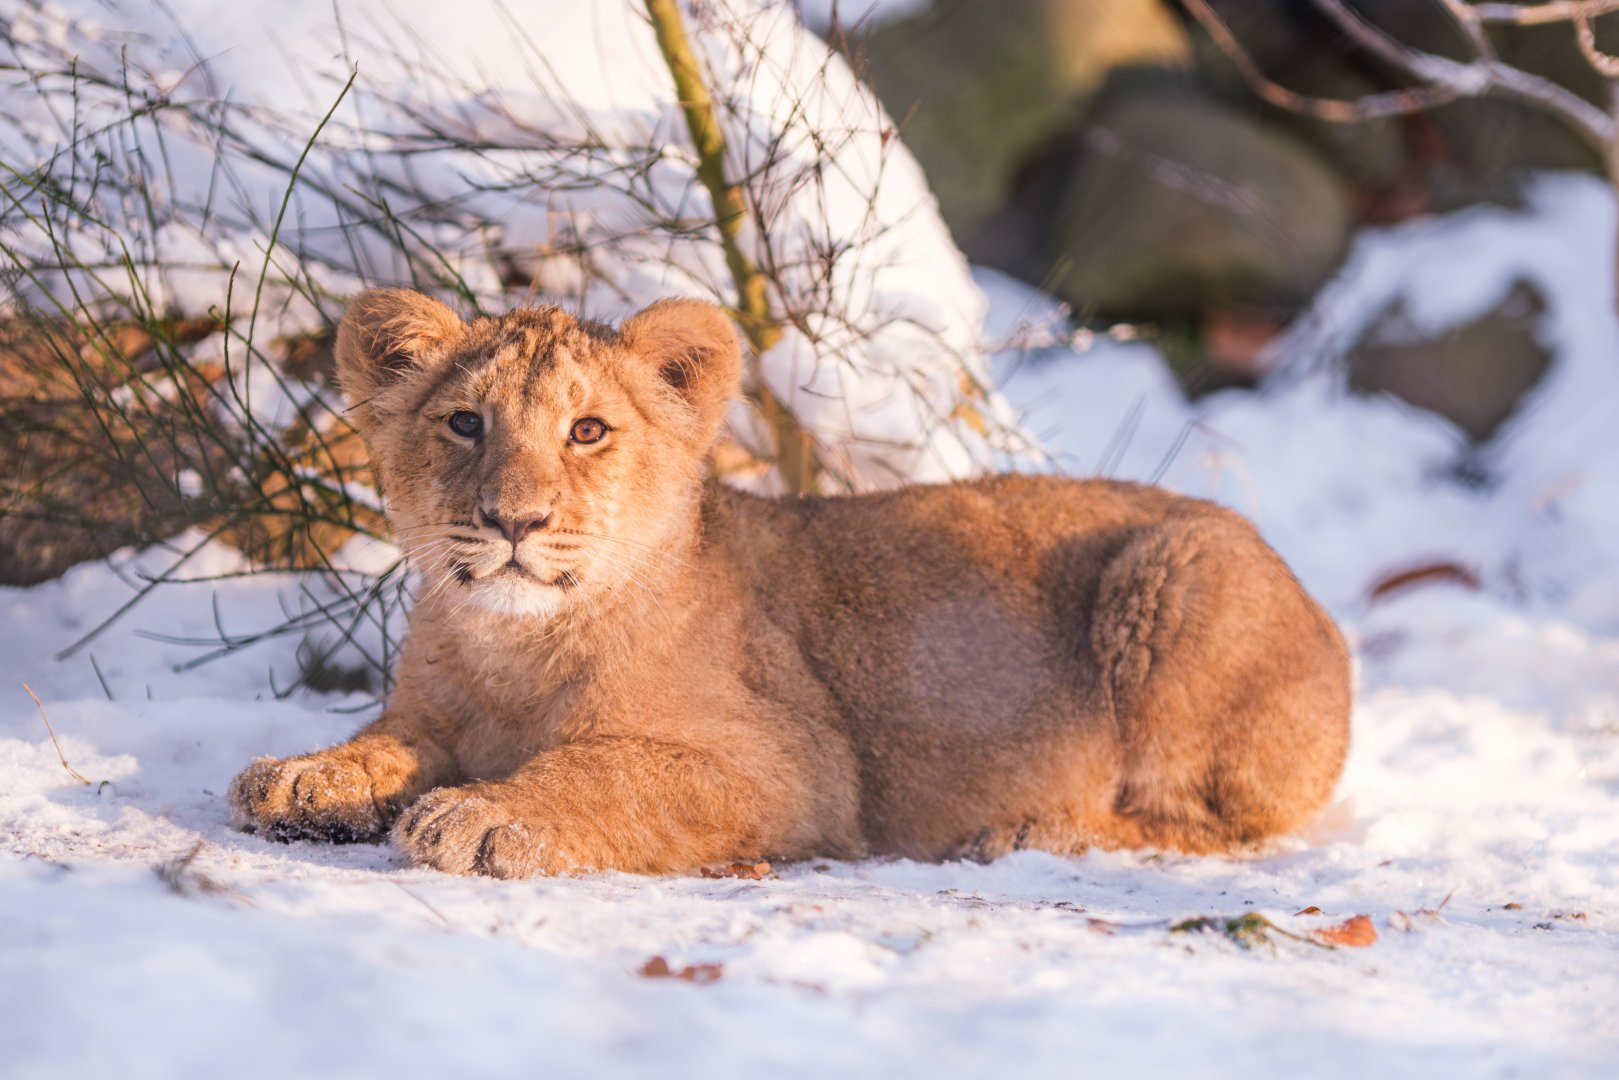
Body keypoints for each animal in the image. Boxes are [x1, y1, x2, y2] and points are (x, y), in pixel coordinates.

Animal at [228, 289, 1352, 877]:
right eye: (465, 423)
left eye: (587, 431)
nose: (514, 520)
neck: (513, 645)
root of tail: (1326, 621)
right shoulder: (431, 715)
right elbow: (386, 741)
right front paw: (306, 776)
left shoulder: (796, 764)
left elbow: (606, 768)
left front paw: (478, 816)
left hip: (1176, 572)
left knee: (1213, 826)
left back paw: (1029, 830)